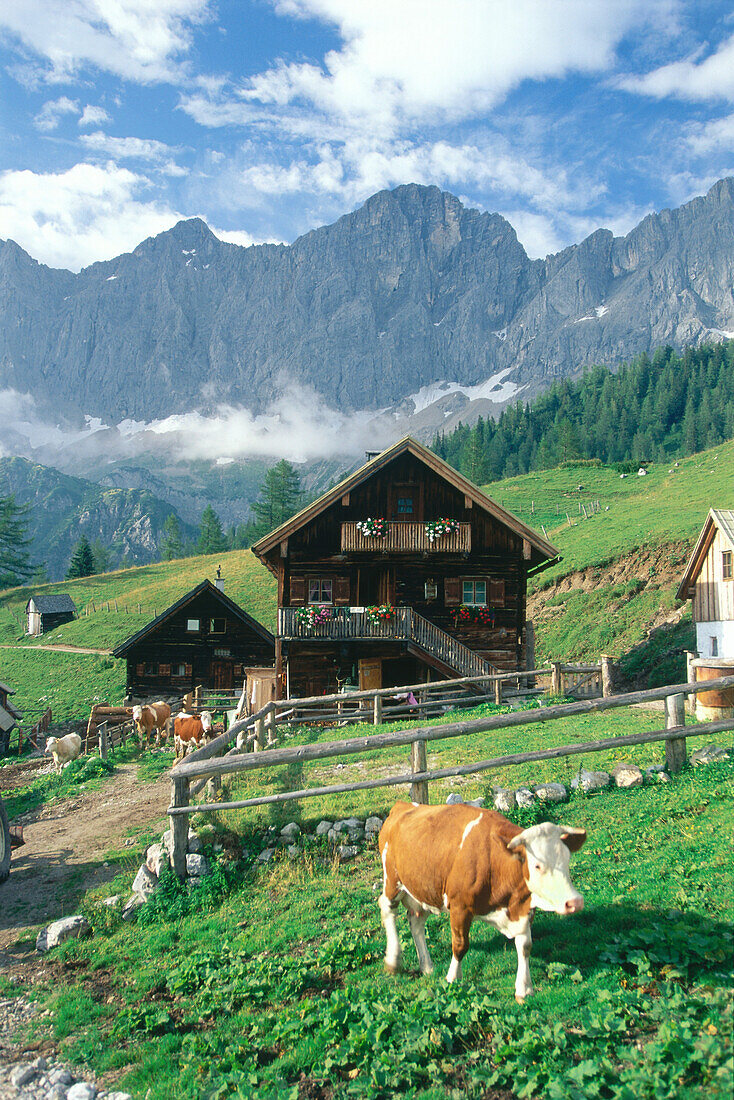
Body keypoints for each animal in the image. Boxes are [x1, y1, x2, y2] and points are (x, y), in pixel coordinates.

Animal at [378, 805, 585, 1003]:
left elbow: (525, 946)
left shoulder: (523, 907)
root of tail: (401, 806)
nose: (575, 901)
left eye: (567, 859)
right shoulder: (460, 906)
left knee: (416, 921)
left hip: (422, 889)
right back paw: (393, 960)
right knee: (387, 909)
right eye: (537, 866)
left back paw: (427, 966)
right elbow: (460, 945)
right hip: (393, 881)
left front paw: (524, 989)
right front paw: (453, 978)